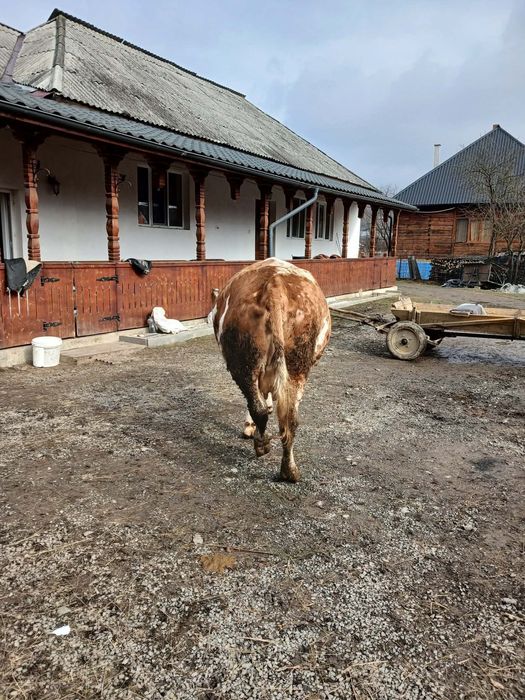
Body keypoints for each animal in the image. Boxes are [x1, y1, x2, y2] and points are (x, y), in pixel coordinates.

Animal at [212, 258, 331, 482]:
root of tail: (274, 284)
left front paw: (249, 428)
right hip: (296, 364)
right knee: (289, 418)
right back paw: (289, 470)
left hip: (245, 361)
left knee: (260, 407)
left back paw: (263, 445)